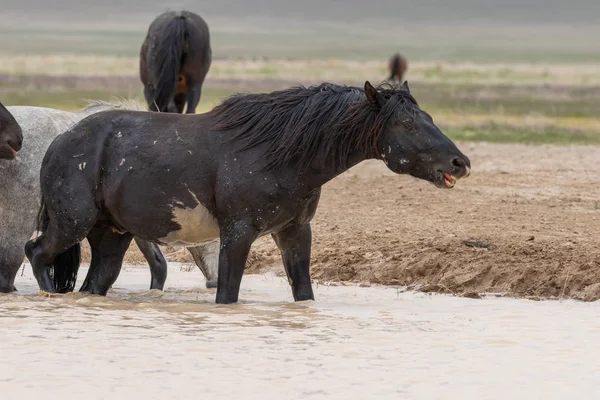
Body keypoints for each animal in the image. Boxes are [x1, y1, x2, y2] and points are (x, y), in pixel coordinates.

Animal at [25, 82, 472, 306]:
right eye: (408, 124)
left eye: (428, 117)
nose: (460, 163)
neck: (280, 152)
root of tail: (61, 141)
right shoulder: (237, 233)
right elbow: (228, 293)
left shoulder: (294, 232)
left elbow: (303, 291)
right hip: (71, 223)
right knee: (37, 253)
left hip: (112, 234)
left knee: (95, 280)